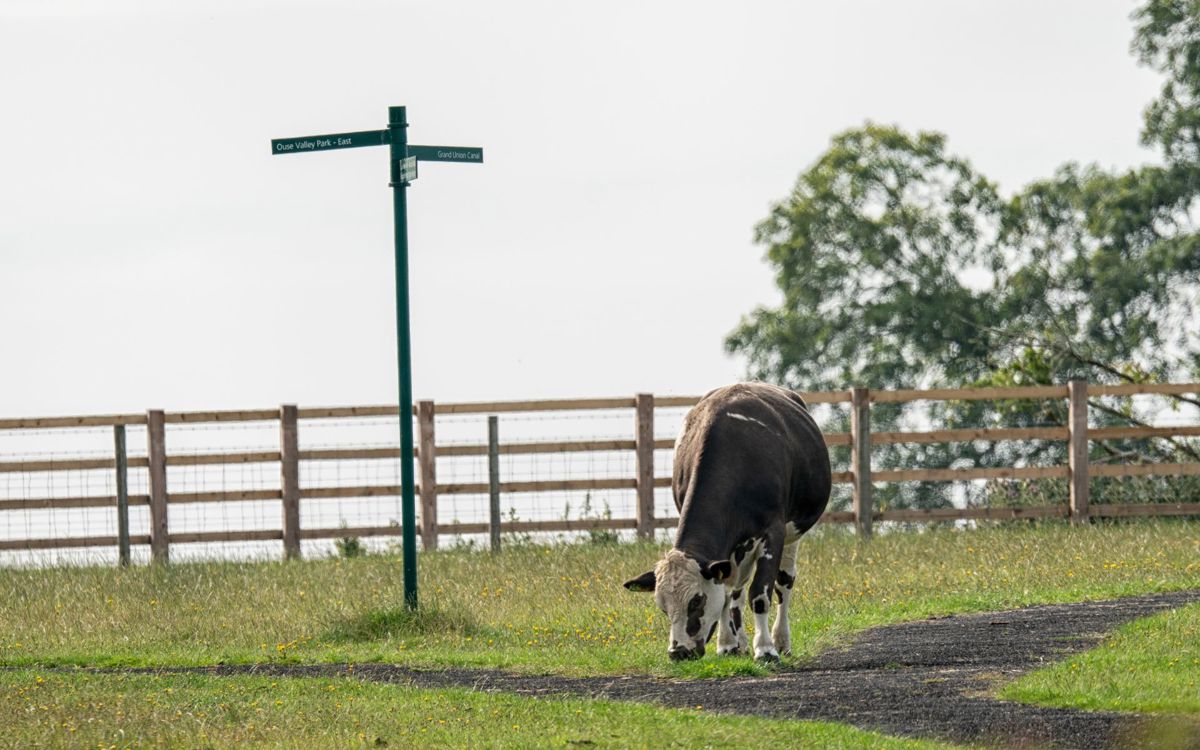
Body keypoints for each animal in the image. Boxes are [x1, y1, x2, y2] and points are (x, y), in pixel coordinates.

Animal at [623, 382, 831, 662]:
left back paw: (781, 640)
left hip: (792, 534)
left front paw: (765, 649)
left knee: (784, 584)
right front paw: (728, 644)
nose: (678, 652)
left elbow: (760, 594)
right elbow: (727, 593)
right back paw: (738, 641)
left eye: (696, 600)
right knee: (736, 589)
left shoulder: (773, 532)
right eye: (662, 607)